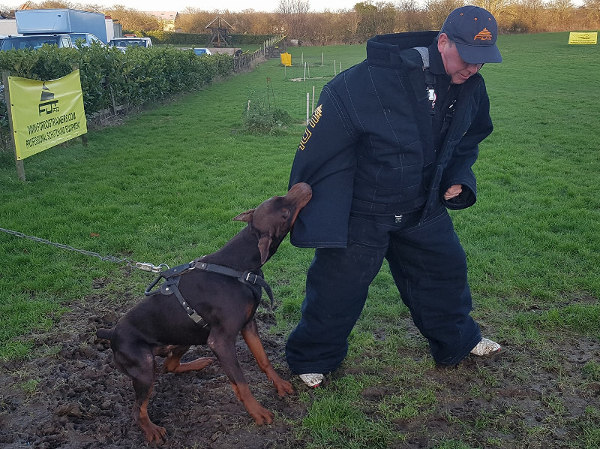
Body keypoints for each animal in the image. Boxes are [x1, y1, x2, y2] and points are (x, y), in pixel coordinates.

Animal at [96, 182, 312, 440]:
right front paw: (258, 412)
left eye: (279, 197)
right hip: (144, 366)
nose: (304, 185)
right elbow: (241, 382)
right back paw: (152, 430)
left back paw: (198, 363)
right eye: (285, 213)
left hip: (184, 338)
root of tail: (111, 333)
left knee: (170, 366)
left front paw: (279, 385)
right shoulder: (221, 340)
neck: (238, 266)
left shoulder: (248, 324)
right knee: (137, 408)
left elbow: (263, 359)